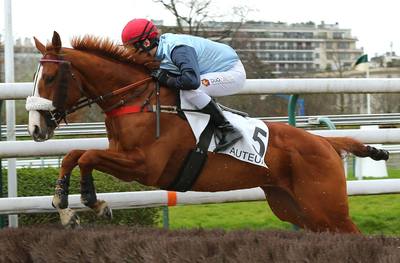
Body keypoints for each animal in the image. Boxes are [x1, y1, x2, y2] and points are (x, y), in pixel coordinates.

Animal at [28, 32, 390, 233]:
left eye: (49, 77)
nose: (35, 127)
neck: (135, 100)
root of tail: (326, 143)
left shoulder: (146, 167)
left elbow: (87, 155)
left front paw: (93, 201)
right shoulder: (120, 153)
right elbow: (73, 155)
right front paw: (64, 207)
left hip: (326, 207)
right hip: (297, 208)